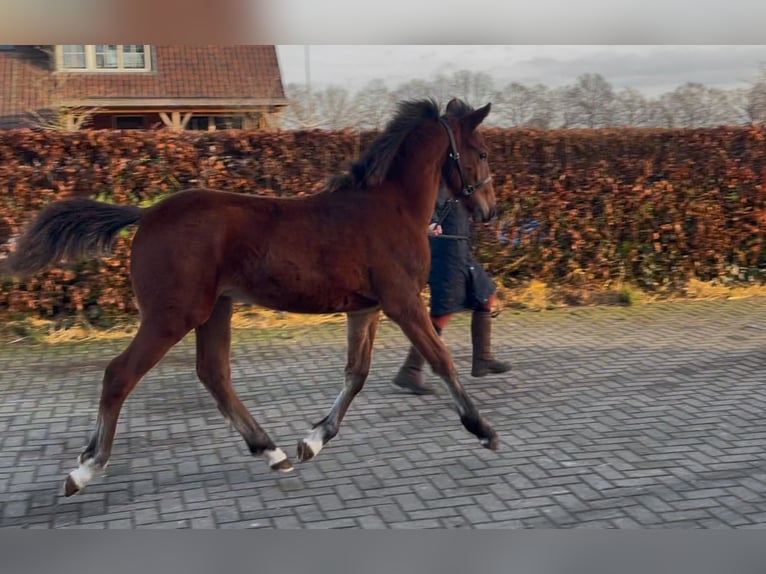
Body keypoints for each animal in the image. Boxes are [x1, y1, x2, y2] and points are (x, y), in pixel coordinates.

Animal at [6, 97, 504, 498]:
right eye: (481, 153)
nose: (488, 210)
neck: (389, 206)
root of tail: (146, 214)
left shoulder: (366, 308)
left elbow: (356, 373)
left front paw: (311, 441)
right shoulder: (402, 302)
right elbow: (441, 359)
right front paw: (484, 430)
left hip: (214, 310)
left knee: (213, 374)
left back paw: (272, 451)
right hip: (171, 316)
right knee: (120, 375)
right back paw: (86, 469)